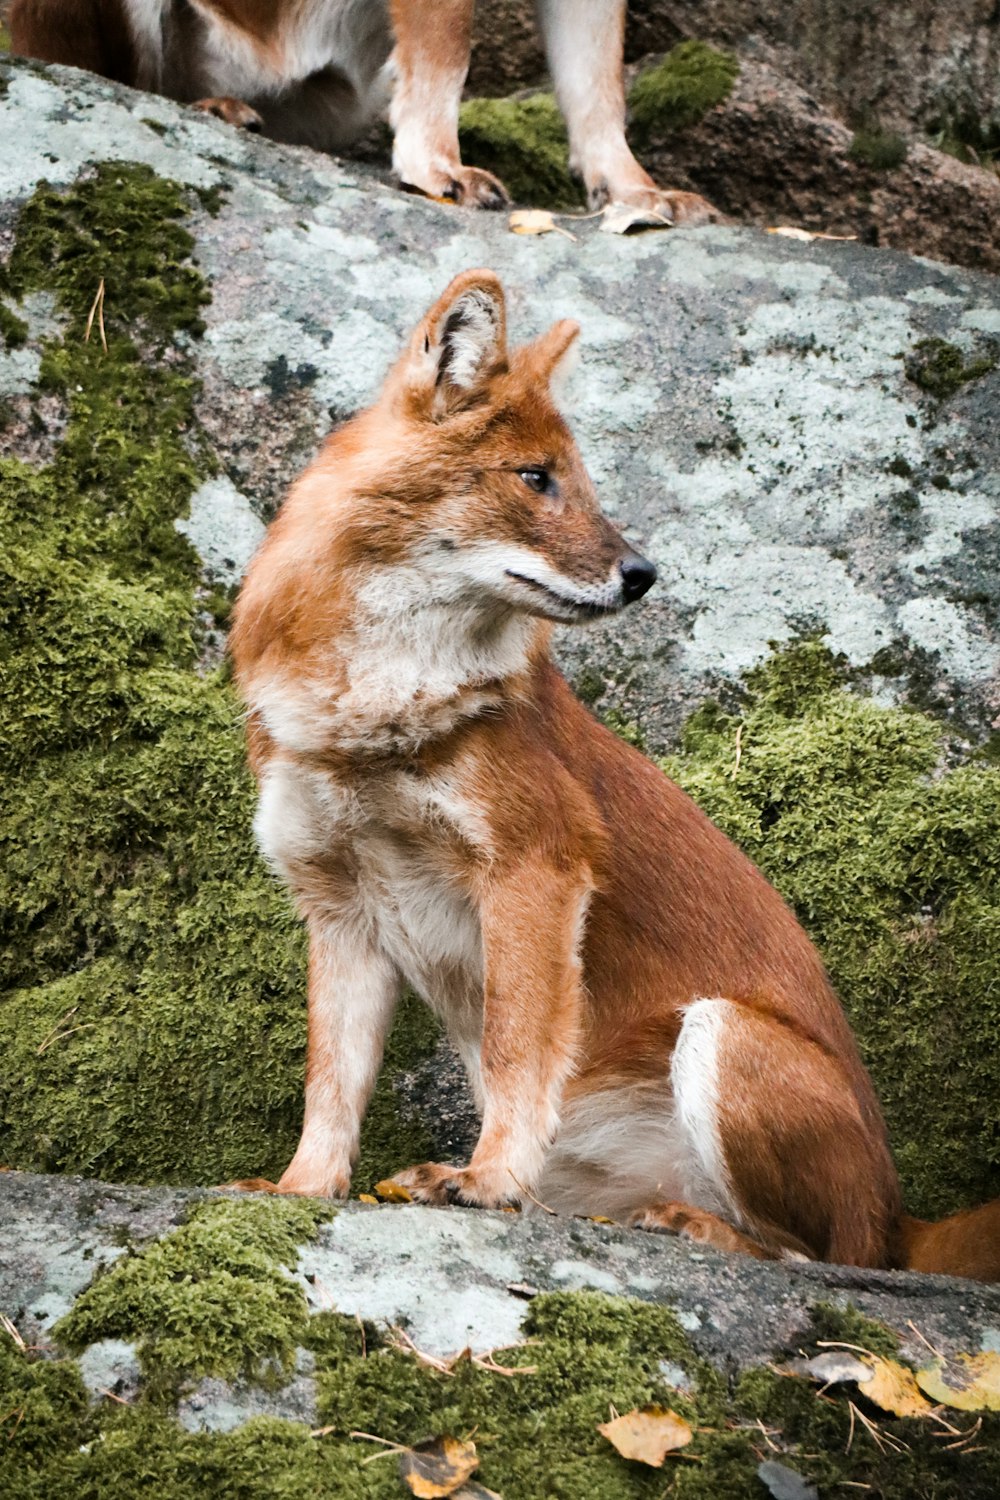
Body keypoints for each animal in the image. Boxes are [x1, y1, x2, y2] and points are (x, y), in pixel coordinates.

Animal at [230, 270, 1000, 1278]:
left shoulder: (537, 867)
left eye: (584, 480)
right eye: (534, 477)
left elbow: (516, 1043)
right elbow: (332, 1079)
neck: (368, 712)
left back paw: (696, 1226)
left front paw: (486, 1180)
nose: (644, 573)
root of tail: (906, 1212)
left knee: (826, 1256)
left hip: (725, 1036)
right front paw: (300, 1189)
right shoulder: (338, 902)